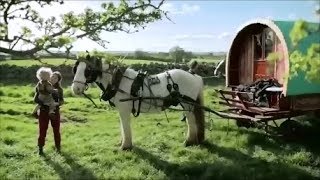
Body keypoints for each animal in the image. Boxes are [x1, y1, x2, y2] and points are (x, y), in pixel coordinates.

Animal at [71, 55, 205, 150]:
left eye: (88, 70)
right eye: (75, 69)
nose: (75, 88)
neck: (117, 82)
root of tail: (194, 76)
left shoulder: (124, 109)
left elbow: (125, 126)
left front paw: (126, 146)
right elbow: (122, 126)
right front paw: (122, 143)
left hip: (188, 104)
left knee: (191, 121)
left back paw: (189, 141)